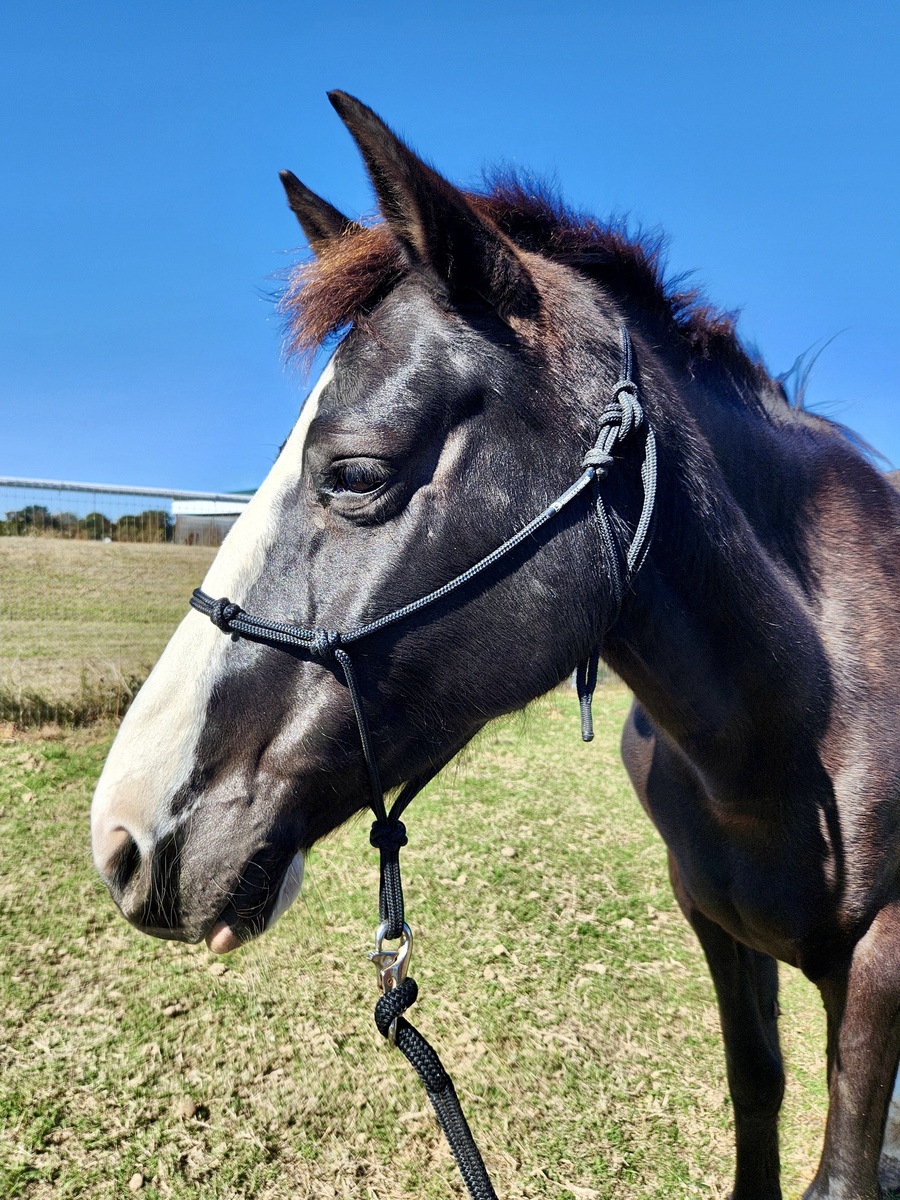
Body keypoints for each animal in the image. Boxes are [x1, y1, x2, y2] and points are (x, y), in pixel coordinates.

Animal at [90, 92, 900, 1199]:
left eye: (356, 472)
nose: (120, 838)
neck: (795, 729)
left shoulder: (881, 964)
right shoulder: (717, 926)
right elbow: (758, 1096)